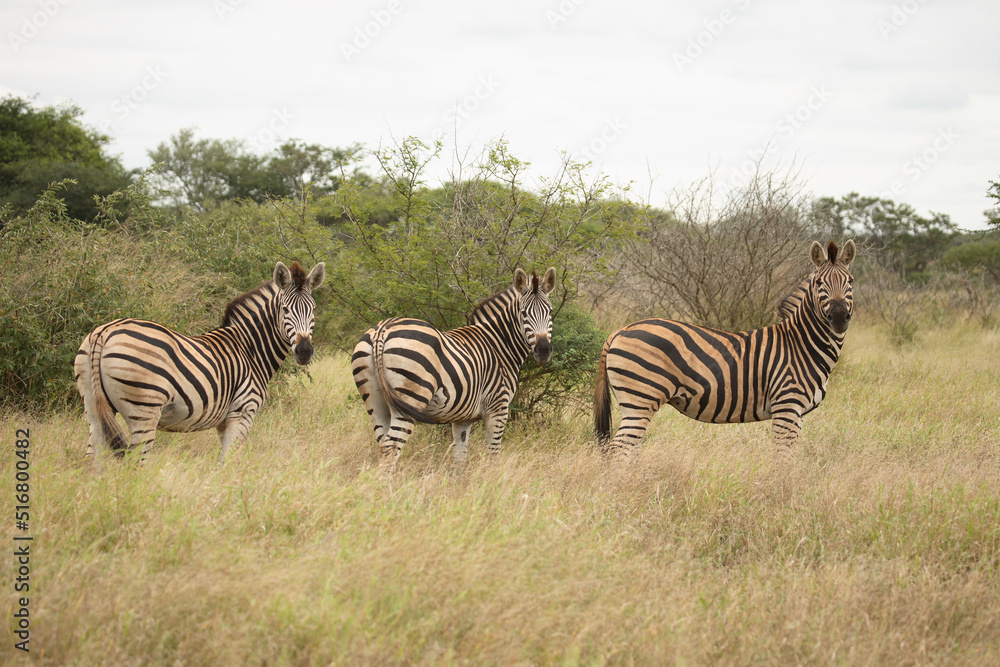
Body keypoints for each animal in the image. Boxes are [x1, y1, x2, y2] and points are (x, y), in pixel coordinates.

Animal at [74, 261, 325, 465]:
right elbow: (227, 464)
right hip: (144, 410)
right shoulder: (242, 414)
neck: (250, 349)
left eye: (313, 310)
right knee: (134, 463)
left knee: (91, 462)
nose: (304, 351)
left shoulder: (224, 422)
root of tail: (105, 332)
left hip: (93, 407)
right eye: (285, 309)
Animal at [352, 267, 557, 470]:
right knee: (391, 448)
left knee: (382, 444)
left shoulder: (462, 418)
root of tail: (382, 329)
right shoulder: (497, 407)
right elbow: (493, 454)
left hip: (375, 401)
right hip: (410, 397)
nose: (543, 351)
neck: (498, 344)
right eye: (523, 313)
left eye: (550, 312)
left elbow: (460, 458)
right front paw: (493, 478)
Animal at [594, 240, 855, 462]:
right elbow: (783, 459)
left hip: (635, 404)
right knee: (620, 449)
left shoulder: (795, 412)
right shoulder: (787, 405)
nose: (839, 317)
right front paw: (782, 488)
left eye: (851, 281)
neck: (801, 345)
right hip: (640, 399)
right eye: (819, 283)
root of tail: (620, 330)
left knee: (628, 448)